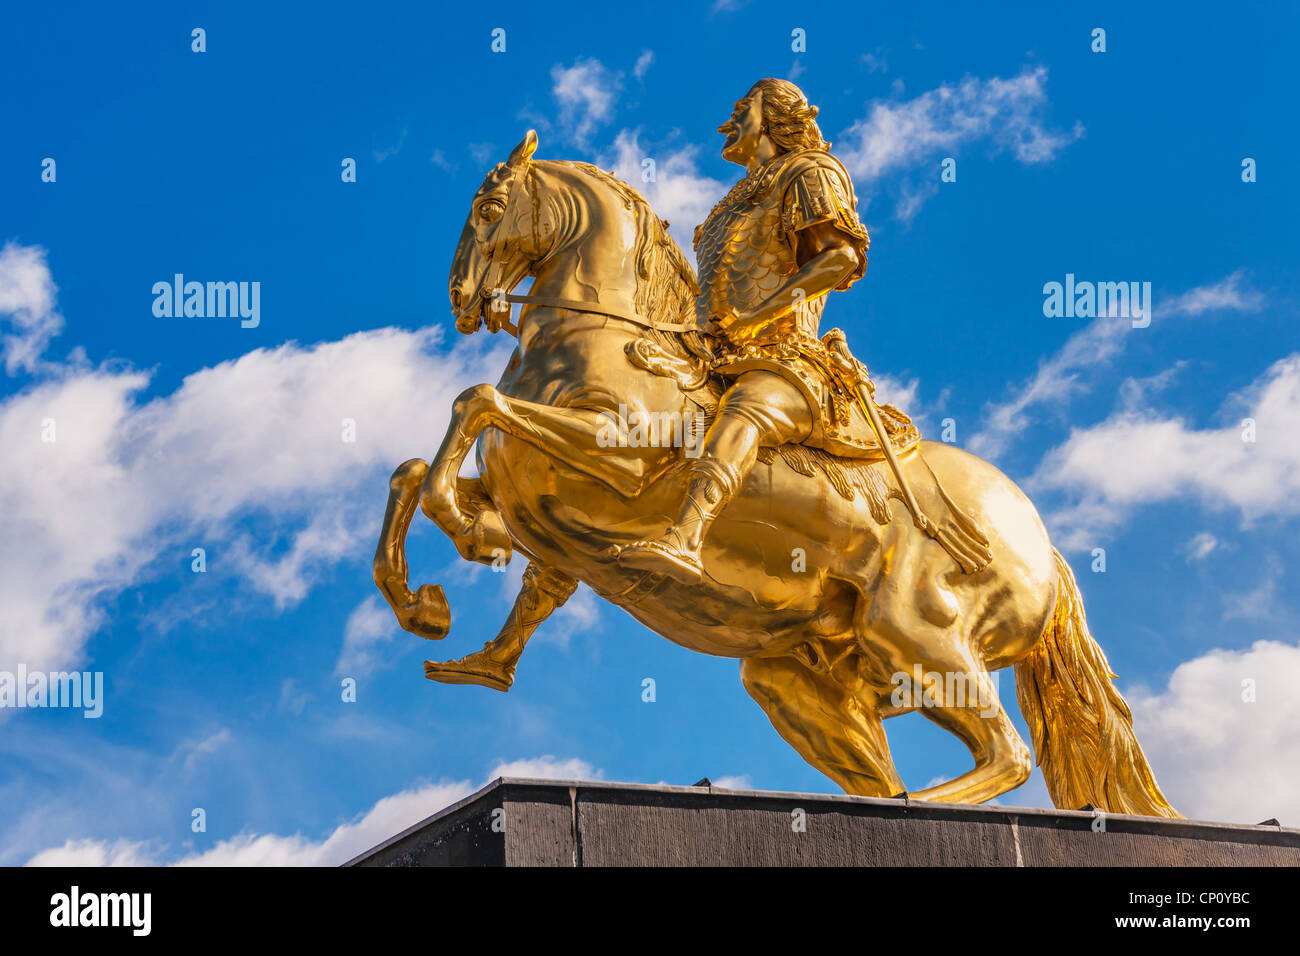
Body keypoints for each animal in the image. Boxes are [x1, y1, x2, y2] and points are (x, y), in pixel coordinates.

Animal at [374, 130, 1180, 816]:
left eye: (488, 208)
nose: (461, 301)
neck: (603, 338)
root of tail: (1044, 549)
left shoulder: (620, 456)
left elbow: (474, 401)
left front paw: (469, 540)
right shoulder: (528, 490)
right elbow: (418, 471)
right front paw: (426, 607)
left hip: (918, 636)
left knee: (1005, 754)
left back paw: (913, 808)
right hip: (802, 679)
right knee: (890, 764)